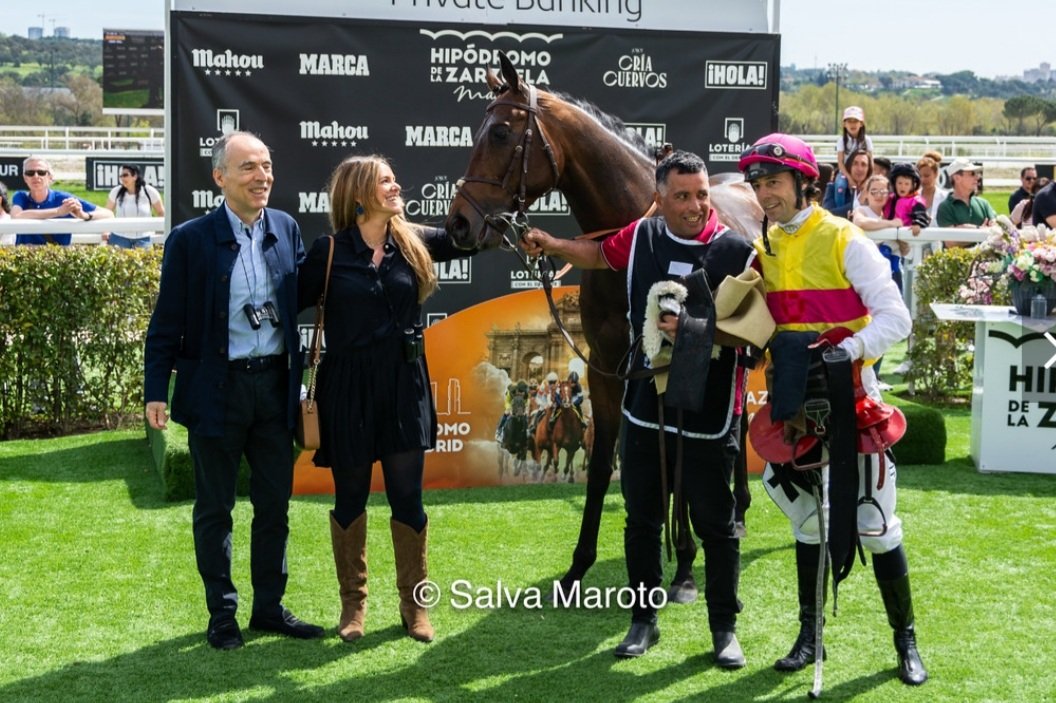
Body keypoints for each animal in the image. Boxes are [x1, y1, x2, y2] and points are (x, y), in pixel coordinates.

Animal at [441, 51, 764, 595]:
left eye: (501, 133)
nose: (459, 223)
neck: (633, 223)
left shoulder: (670, 359)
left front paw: (683, 557)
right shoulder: (607, 365)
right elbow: (602, 463)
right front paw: (581, 562)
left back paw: (735, 511)